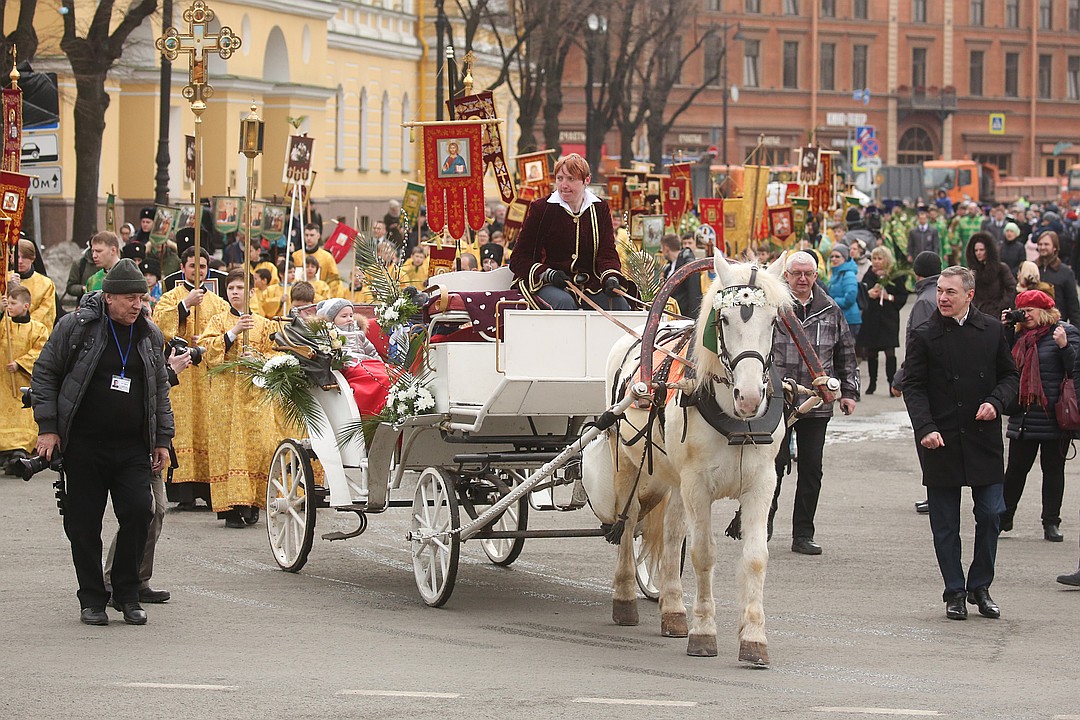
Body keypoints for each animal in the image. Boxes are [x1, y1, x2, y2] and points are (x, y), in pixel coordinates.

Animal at [583, 252, 794, 664]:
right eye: (723, 320)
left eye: (774, 321)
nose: (749, 396)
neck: (737, 422)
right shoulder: (698, 484)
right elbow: (702, 554)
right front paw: (704, 632)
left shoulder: (761, 483)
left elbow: (755, 557)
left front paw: (753, 638)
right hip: (628, 464)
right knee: (628, 524)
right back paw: (626, 599)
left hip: (674, 479)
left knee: (670, 533)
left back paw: (673, 609)